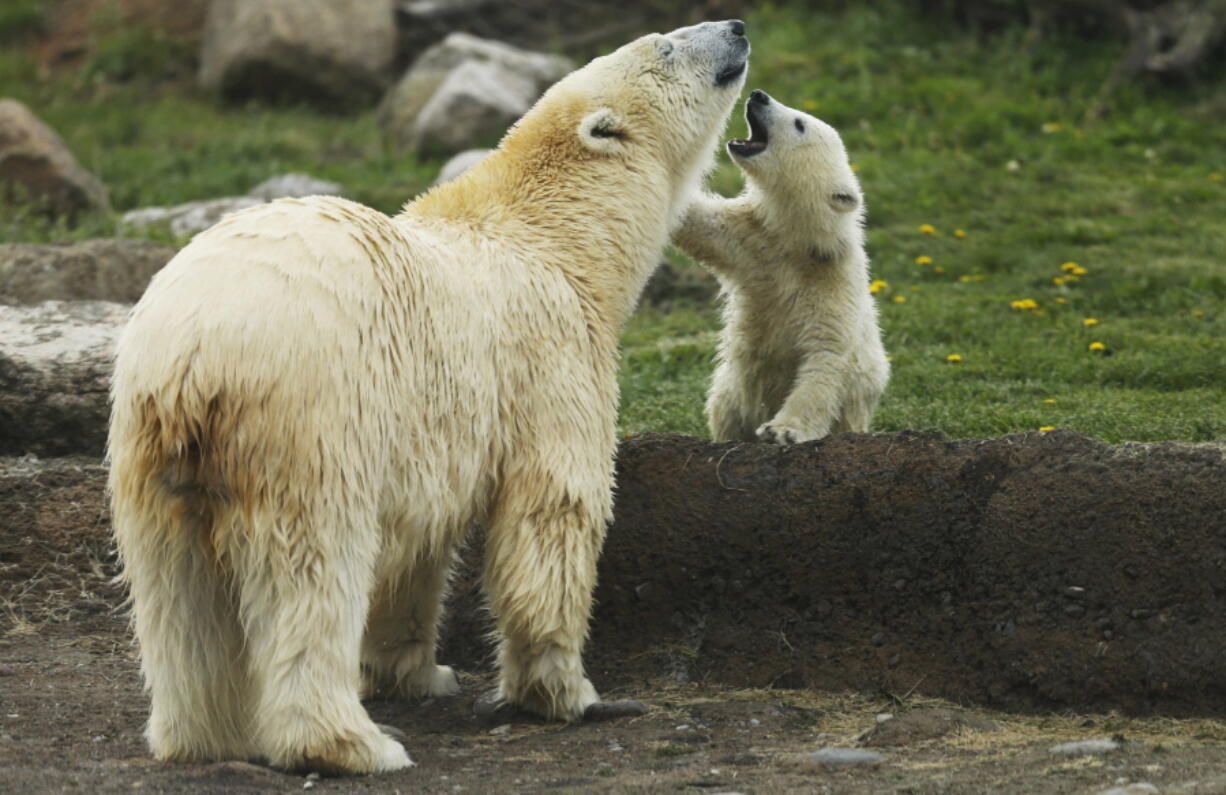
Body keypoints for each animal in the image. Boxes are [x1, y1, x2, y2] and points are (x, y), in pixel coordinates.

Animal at [110, 21, 750, 775]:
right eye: (665, 45)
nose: (736, 28)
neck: (557, 241)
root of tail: (196, 347)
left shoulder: (430, 431)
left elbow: (414, 547)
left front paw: (418, 673)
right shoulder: (551, 362)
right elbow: (551, 515)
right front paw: (573, 694)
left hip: (148, 441)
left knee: (175, 586)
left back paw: (202, 734)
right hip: (310, 418)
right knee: (312, 569)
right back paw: (354, 743)